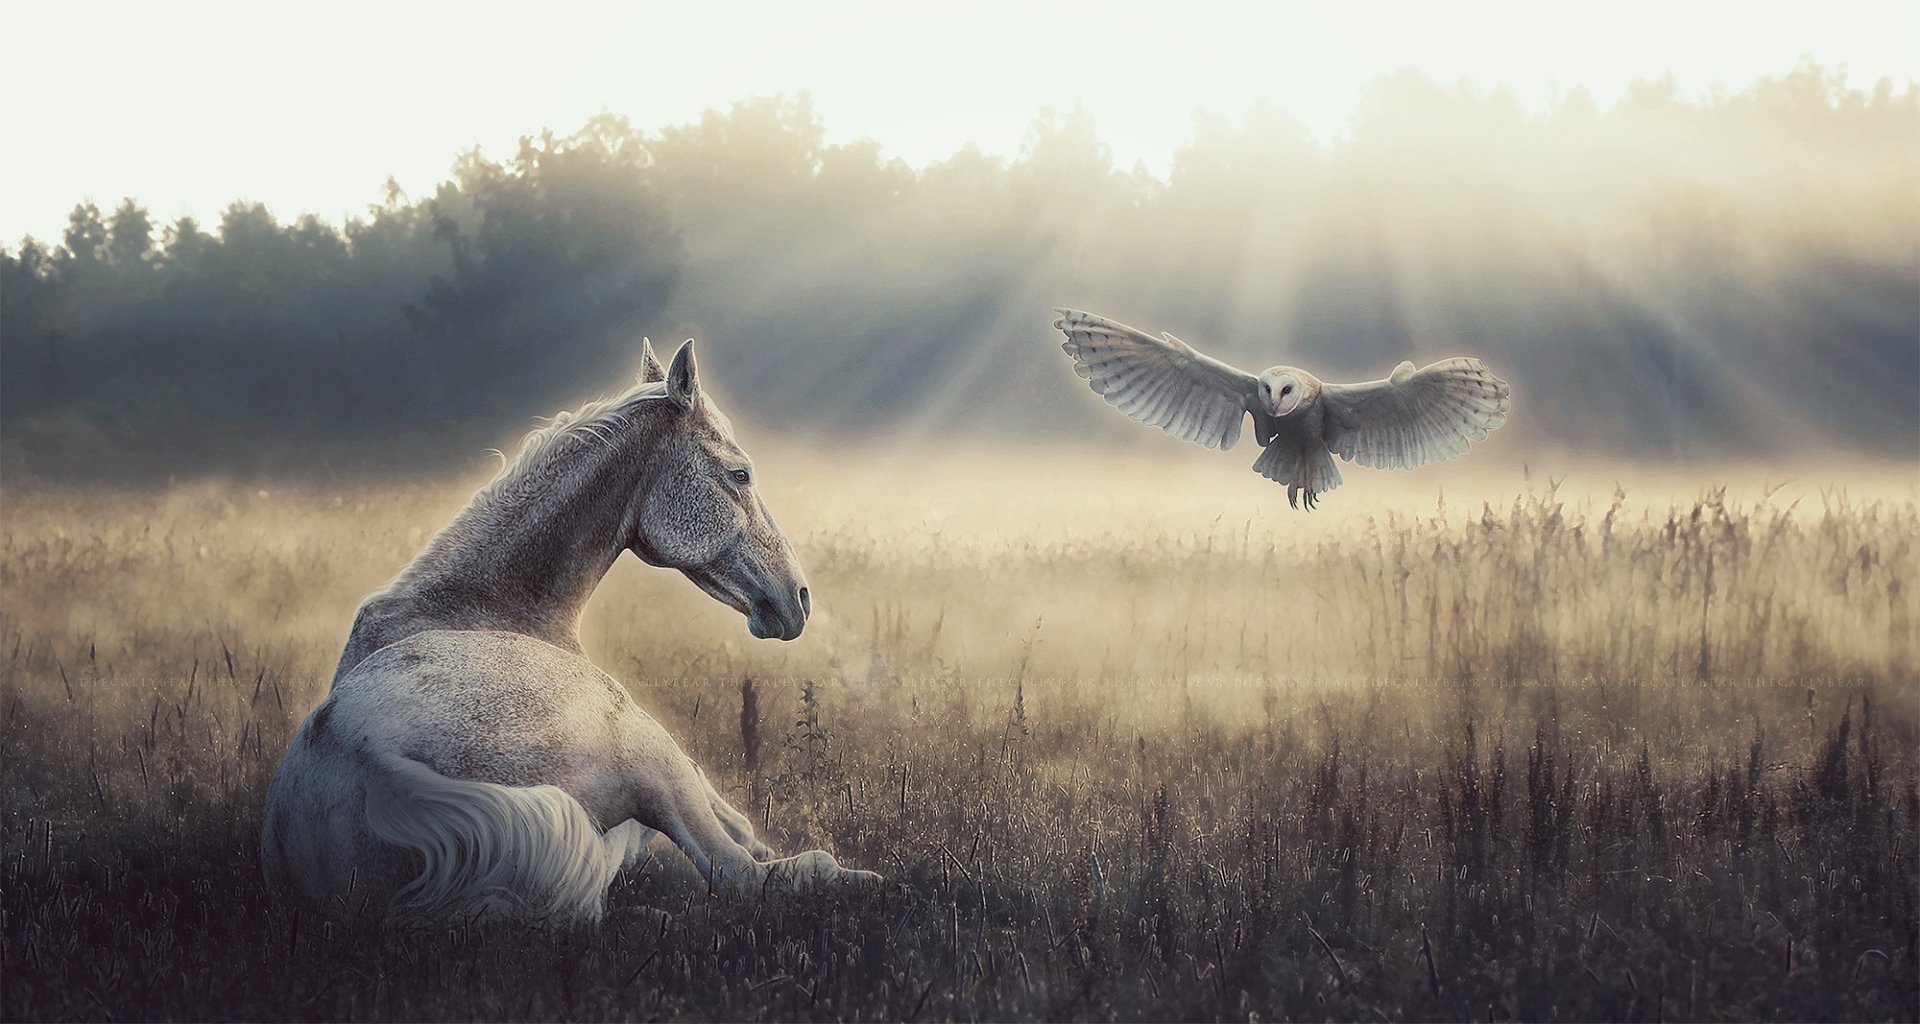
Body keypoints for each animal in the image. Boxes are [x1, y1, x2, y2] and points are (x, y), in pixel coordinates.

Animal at [261, 337, 880, 921]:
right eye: (740, 473)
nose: (797, 599)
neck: (476, 605)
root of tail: (372, 760)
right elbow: (743, 834)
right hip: (646, 747)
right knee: (745, 874)